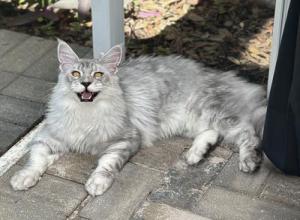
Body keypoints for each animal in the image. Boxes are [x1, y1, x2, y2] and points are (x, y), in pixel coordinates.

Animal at [10, 39, 266, 196]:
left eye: (98, 74)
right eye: (75, 73)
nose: (86, 83)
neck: (86, 114)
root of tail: (221, 75)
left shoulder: (126, 138)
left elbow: (106, 164)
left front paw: (97, 183)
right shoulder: (49, 137)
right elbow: (35, 159)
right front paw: (23, 178)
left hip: (213, 113)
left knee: (247, 133)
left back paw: (248, 161)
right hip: (194, 121)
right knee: (214, 134)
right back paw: (195, 155)